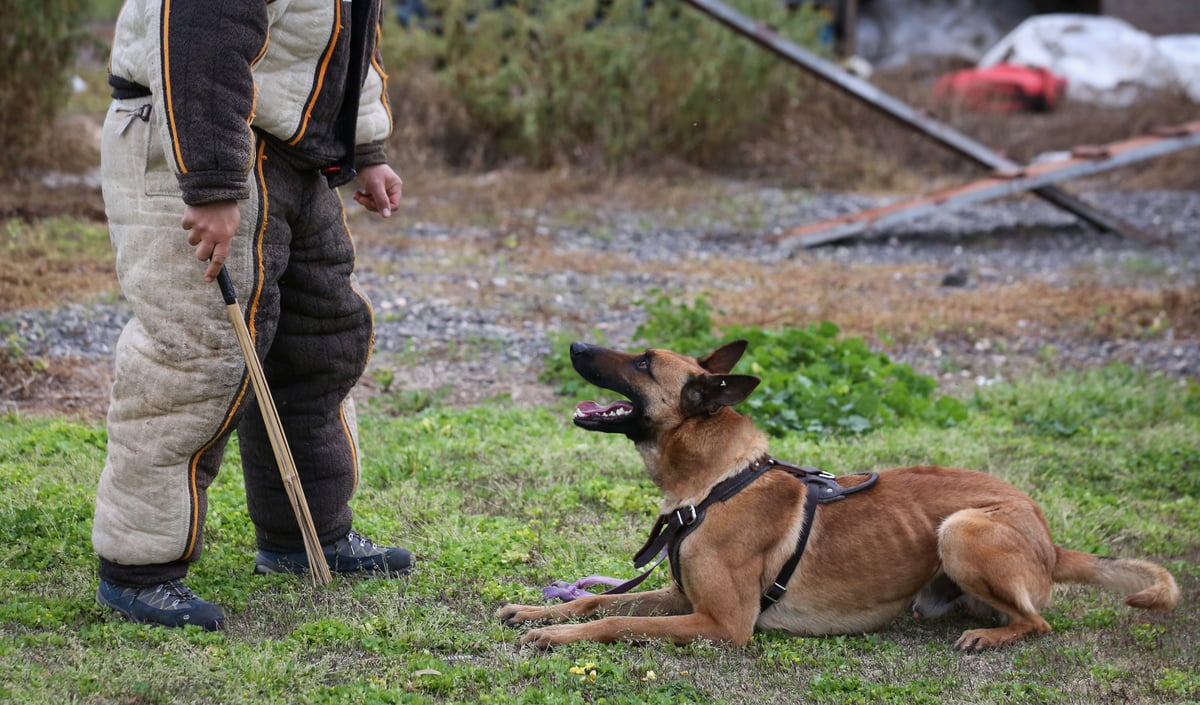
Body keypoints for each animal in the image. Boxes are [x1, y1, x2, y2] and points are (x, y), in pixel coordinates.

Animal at [496, 340, 1180, 652]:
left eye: (641, 362)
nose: (575, 346)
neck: (717, 484)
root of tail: (1049, 538)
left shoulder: (723, 624)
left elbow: (613, 619)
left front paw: (554, 638)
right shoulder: (681, 597)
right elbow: (596, 601)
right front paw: (536, 613)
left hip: (962, 528)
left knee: (1038, 620)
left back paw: (991, 638)